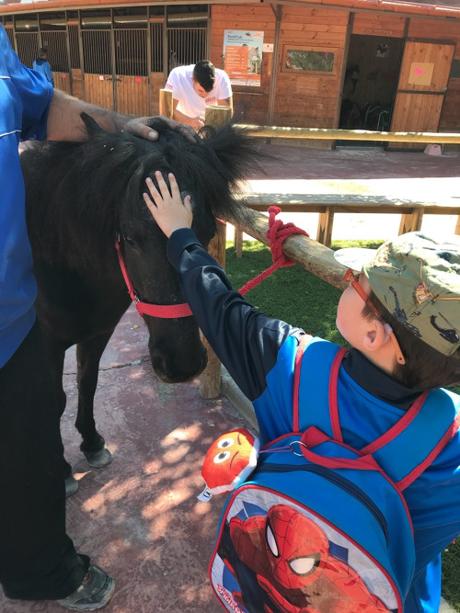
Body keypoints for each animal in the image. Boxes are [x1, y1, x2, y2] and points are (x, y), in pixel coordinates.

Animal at [21, 115, 255, 486]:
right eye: (130, 238)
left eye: (207, 233)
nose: (182, 365)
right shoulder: (45, 346)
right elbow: (55, 400)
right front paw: (61, 470)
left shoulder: (97, 333)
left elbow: (87, 383)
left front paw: (92, 442)